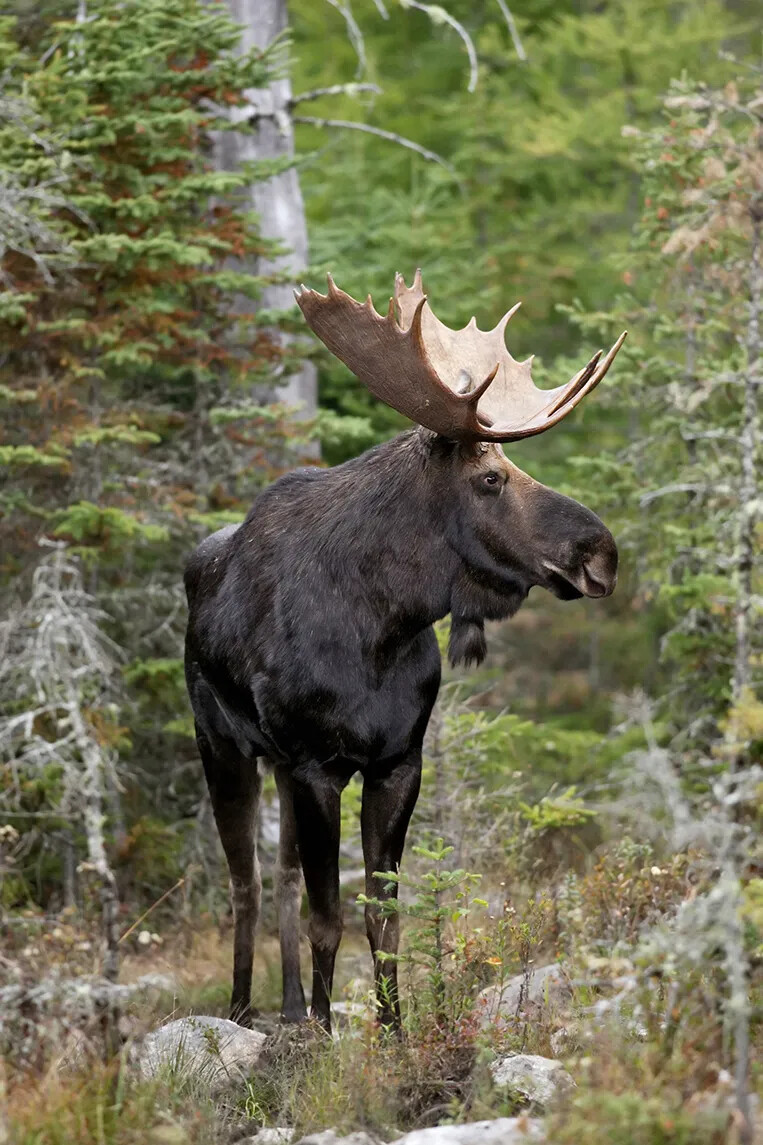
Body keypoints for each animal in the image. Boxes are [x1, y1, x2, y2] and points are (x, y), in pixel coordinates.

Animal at [184, 270, 626, 1033]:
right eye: (489, 478)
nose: (601, 552)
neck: (382, 628)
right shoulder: (317, 764)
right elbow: (329, 915)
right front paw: (327, 1036)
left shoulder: (396, 761)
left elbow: (382, 917)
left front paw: (390, 1030)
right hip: (224, 745)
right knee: (248, 882)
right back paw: (243, 1010)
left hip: (277, 763)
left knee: (282, 877)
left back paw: (291, 1007)